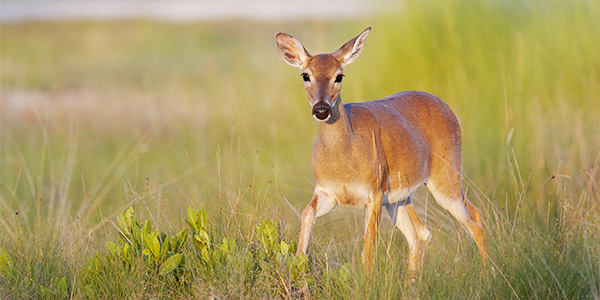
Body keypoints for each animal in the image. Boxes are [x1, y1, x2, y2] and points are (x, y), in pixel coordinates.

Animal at [276, 27, 488, 274]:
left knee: (474, 217)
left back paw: (488, 274)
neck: (344, 159)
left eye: (339, 76)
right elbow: (306, 214)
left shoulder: (374, 190)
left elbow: (368, 253)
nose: (321, 109)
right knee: (420, 233)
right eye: (305, 75)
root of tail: (449, 109)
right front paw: (298, 261)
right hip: (400, 197)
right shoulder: (327, 192)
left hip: (446, 174)